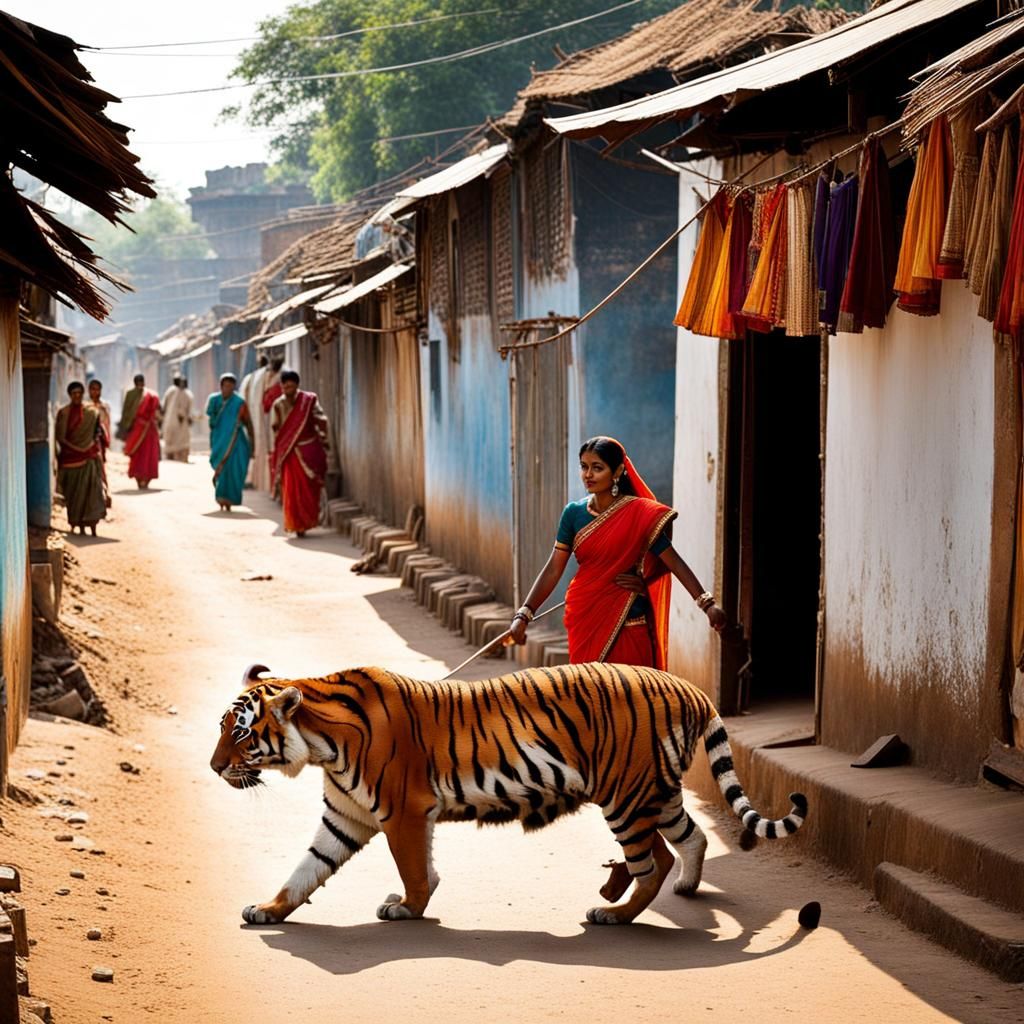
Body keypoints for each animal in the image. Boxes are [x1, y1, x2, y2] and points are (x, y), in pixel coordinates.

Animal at [210, 662, 807, 926]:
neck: (321, 745)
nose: (214, 768)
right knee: (693, 839)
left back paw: (614, 913)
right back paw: (686, 887)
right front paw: (268, 909)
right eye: (223, 730)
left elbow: (414, 869)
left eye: (239, 734)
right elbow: (306, 869)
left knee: (652, 861)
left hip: (626, 797)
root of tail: (690, 687)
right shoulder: (345, 815)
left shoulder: (403, 814)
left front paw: (408, 907)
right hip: (658, 794)